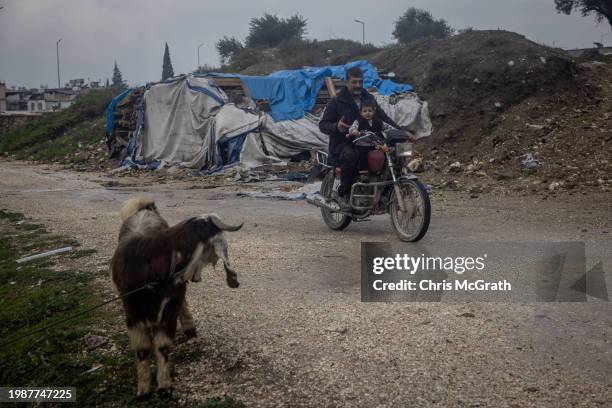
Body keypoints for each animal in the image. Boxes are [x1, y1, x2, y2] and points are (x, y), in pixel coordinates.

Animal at [112, 196, 241, 396]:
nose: (196, 278)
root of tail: (144, 208)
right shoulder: (132, 313)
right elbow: (142, 350)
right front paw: (143, 389)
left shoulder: (169, 309)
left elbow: (163, 347)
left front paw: (164, 386)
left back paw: (190, 329)